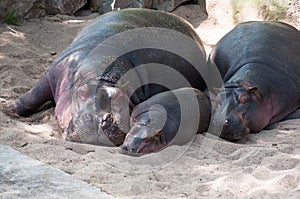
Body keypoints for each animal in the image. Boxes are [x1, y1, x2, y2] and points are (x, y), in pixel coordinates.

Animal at [4, 8, 210, 153]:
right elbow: (34, 95)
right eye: (82, 93)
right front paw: (8, 108)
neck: (99, 76)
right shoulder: (53, 71)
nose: (98, 119)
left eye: (120, 97)